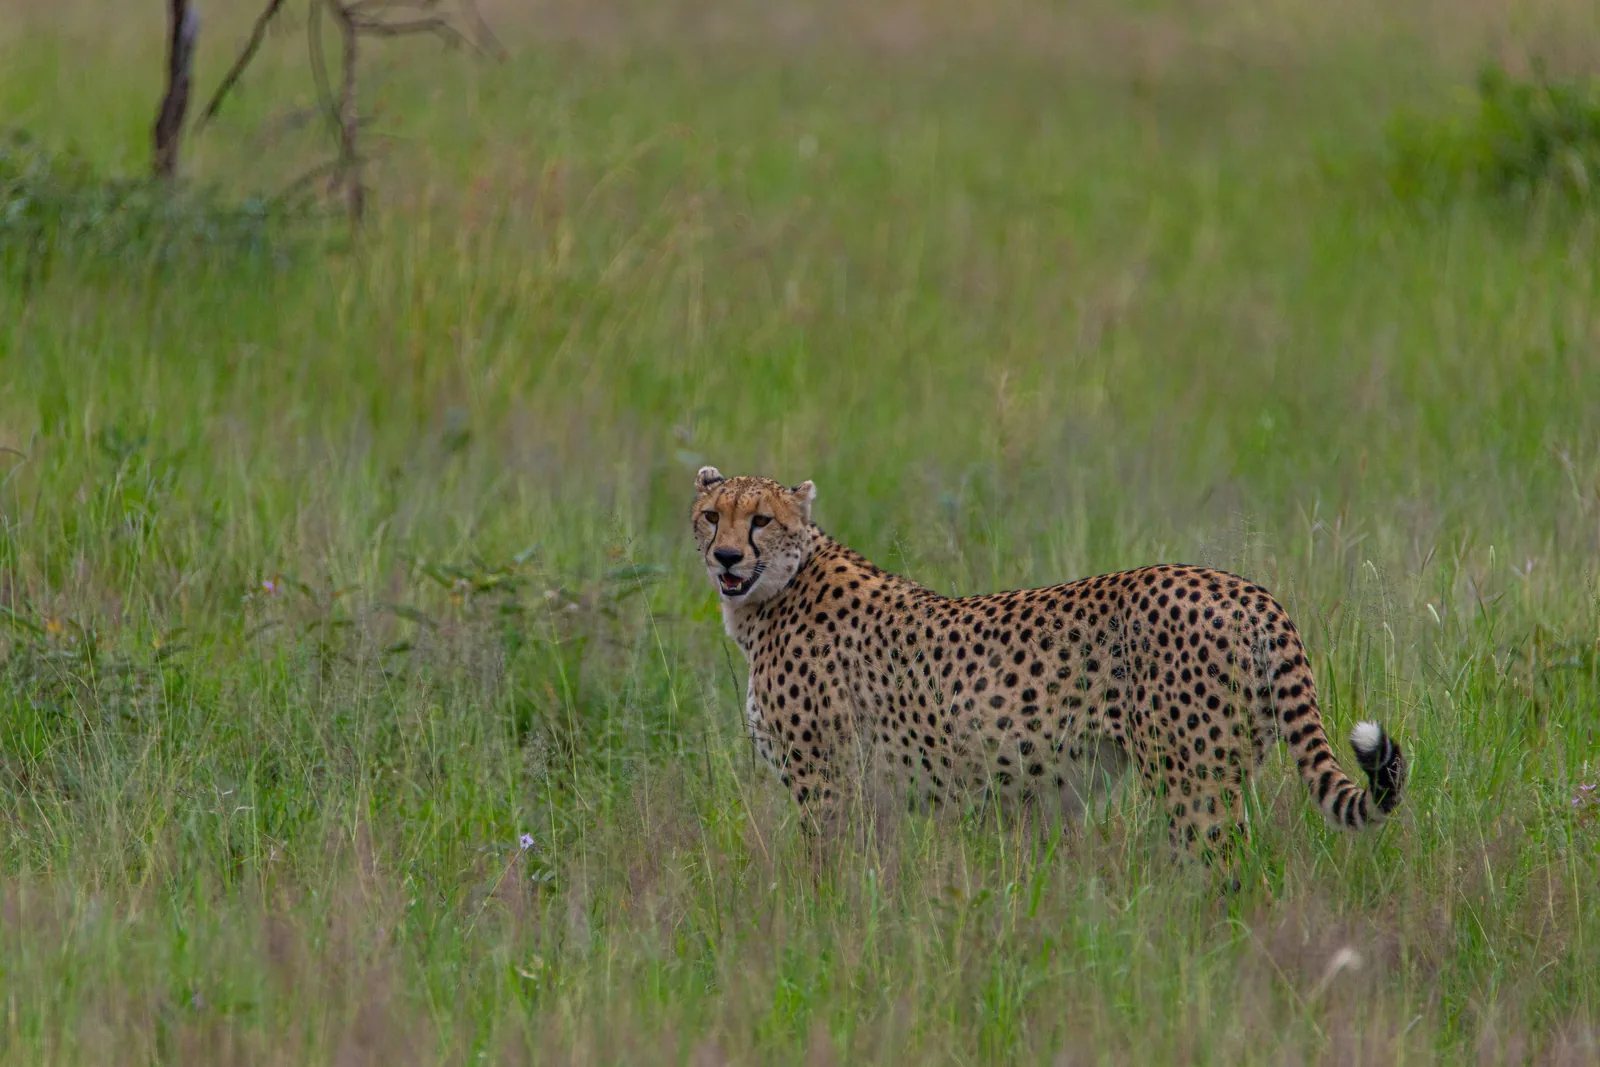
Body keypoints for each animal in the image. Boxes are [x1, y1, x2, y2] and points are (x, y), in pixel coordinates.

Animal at [690, 466, 1407, 862]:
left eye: (760, 520)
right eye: (710, 516)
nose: (726, 557)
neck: (773, 595)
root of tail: (1243, 587)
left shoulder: (827, 788)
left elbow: (827, 883)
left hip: (1192, 781)